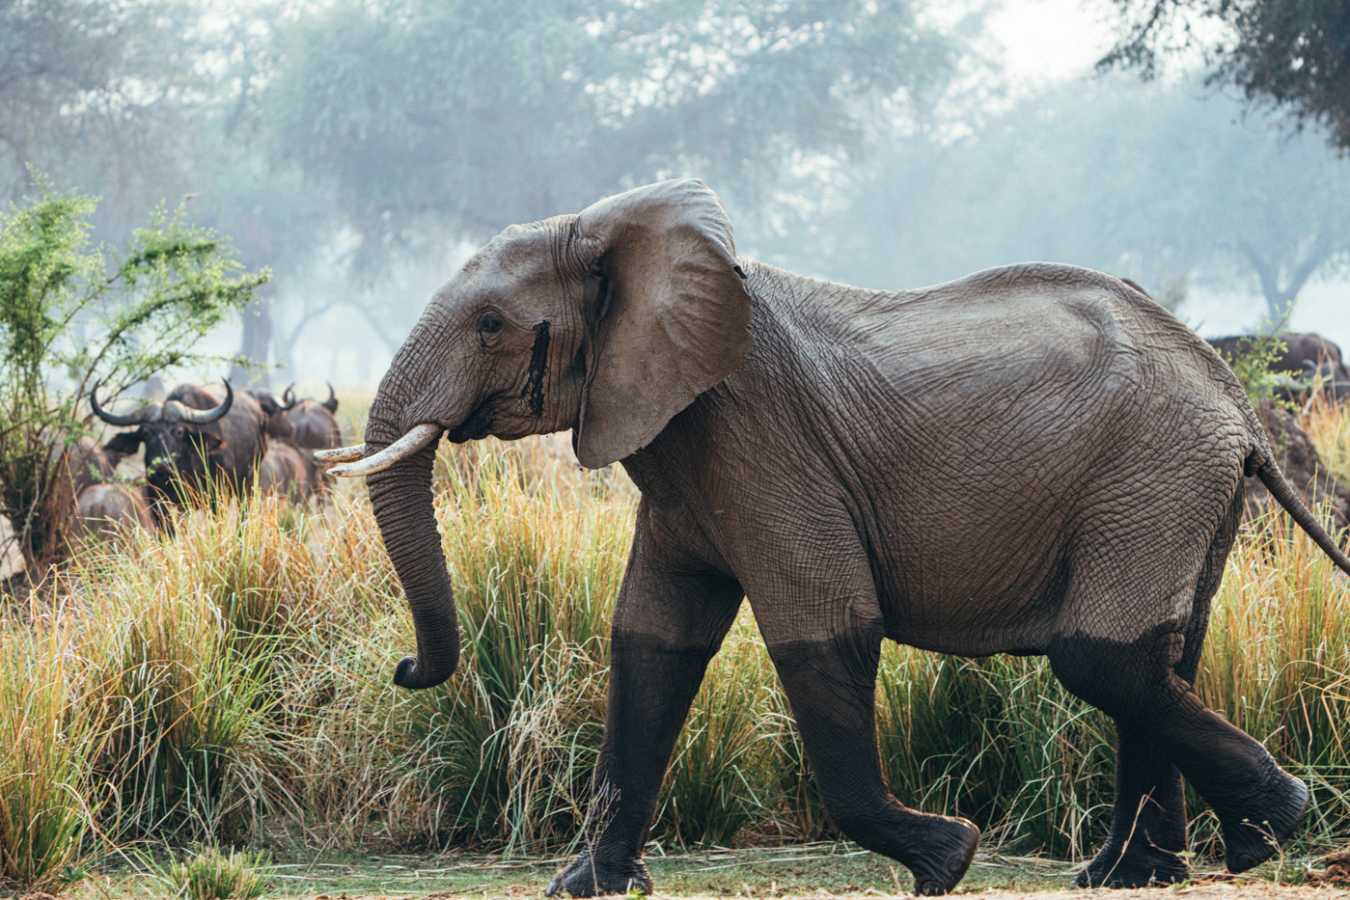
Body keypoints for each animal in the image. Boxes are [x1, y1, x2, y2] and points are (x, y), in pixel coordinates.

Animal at [92, 381, 268, 519]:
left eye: (179, 431)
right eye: (146, 433)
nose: (161, 465)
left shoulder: (215, 500)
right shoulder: (158, 503)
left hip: (247, 486)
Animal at [319, 180, 1350, 896]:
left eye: (492, 324)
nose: (404, 670)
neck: (620, 234)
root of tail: (1235, 402)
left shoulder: (761, 440)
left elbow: (826, 627)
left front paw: (948, 859)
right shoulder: (685, 454)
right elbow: (650, 642)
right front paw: (583, 887)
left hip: (1152, 473)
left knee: (1102, 660)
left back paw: (1273, 828)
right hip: (1174, 486)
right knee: (1159, 655)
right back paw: (1137, 873)